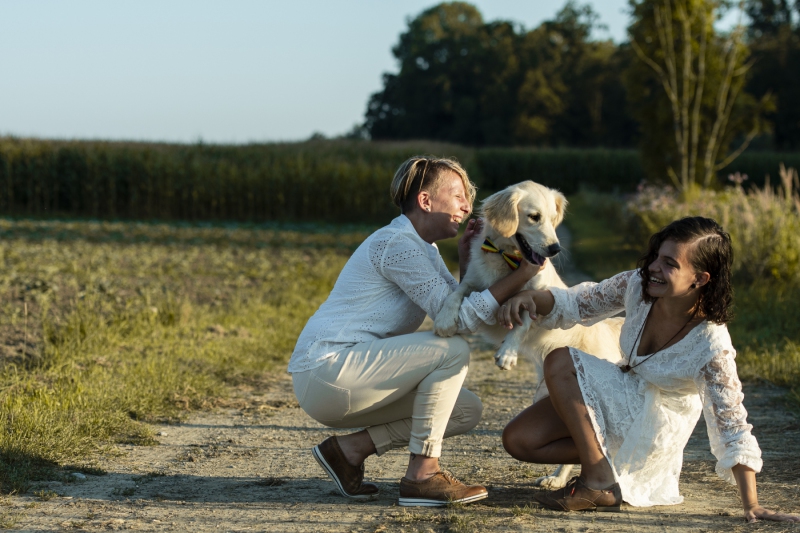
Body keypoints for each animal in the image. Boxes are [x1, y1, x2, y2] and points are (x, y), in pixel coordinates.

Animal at [434, 181, 620, 488]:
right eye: (534, 217)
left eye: (553, 217)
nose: (555, 248)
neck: (508, 261)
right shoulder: (474, 282)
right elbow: (456, 293)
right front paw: (445, 318)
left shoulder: (537, 297)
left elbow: (521, 318)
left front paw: (508, 353)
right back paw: (557, 479)